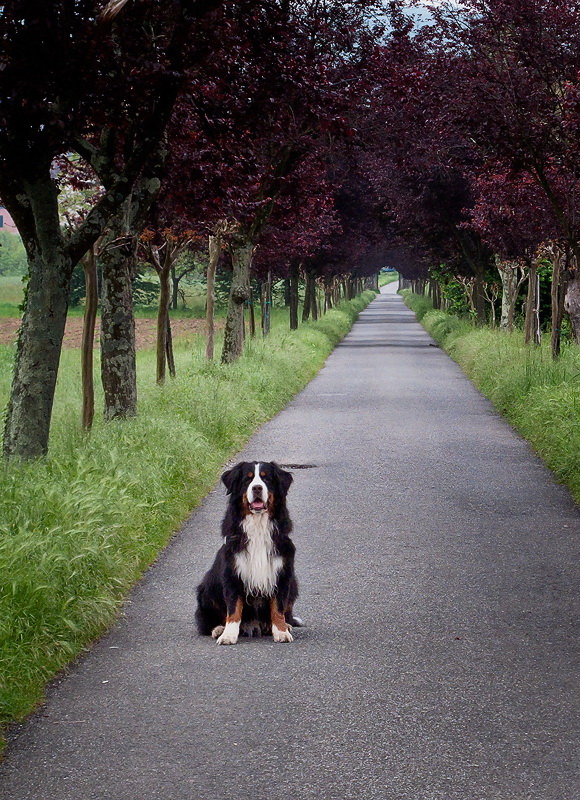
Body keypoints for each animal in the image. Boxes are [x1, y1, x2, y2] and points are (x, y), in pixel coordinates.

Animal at [196, 462, 304, 644]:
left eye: (267, 478)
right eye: (247, 479)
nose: (257, 488)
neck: (258, 526)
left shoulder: (281, 573)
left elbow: (278, 607)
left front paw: (281, 631)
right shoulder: (233, 573)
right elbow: (233, 608)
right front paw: (228, 635)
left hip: (293, 584)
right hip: (206, 589)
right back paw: (218, 629)